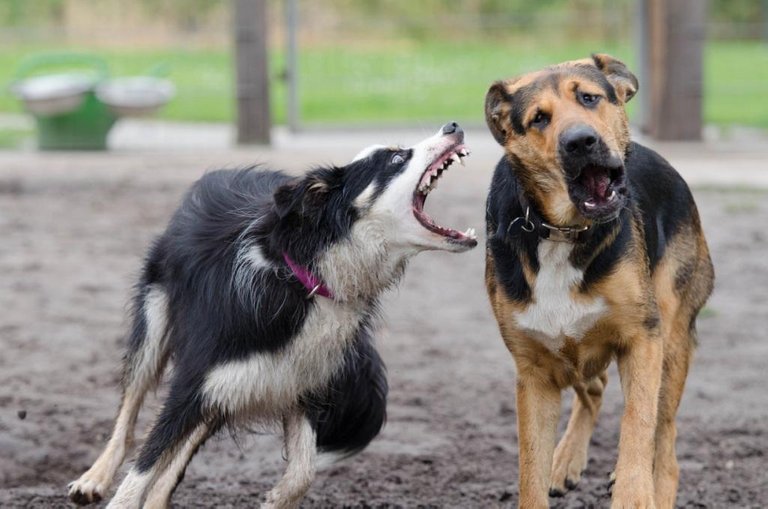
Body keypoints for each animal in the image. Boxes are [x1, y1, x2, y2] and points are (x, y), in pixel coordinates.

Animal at [67, 124, 474, 508]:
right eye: (396, 158)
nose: (453, 126)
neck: (308, 276)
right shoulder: (195, 381)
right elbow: (144, 465)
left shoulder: (299, 382)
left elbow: (303, 471)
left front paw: (276, 499)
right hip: (156, 322)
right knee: (130, 411)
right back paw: (93, 478)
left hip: (234, 387)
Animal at [486, 53, 712, 506]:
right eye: (539, 119)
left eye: (589, 98)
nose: (580, 142)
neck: (561, 231)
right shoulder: (534, 372)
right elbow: (529, 469)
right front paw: (550, 467)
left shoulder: (643, 339)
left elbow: (638, 424)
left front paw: (633, 492)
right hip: (574, 352)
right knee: (594, 389)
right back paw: (566, 460)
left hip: (671, 338)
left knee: (665, 438)